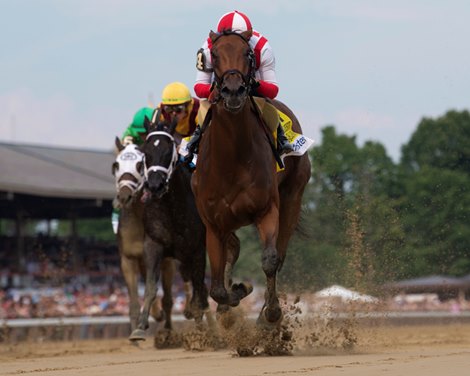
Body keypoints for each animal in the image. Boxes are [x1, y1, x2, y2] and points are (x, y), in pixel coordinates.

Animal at [191, 30, 312, 326]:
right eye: (215, 55)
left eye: (247, 54)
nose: (233, 91)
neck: (231, 159)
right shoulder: (213, 224)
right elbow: (217, 289)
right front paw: (237, 292)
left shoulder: (267, 209)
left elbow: (270, 260)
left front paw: (270, 313)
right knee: (233, 249)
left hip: (292, 197)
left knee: (280, 255)